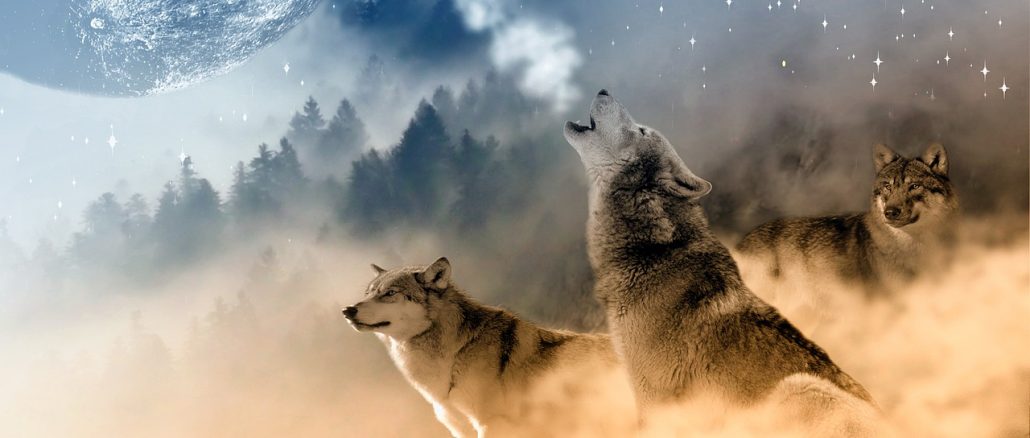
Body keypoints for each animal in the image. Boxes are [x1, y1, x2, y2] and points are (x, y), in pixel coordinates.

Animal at [342, 257, 631, 438]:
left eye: (390, 293)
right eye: (369, 293)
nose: (348, 310)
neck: (453, 355)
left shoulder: (490, 424)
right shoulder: (462, 429)